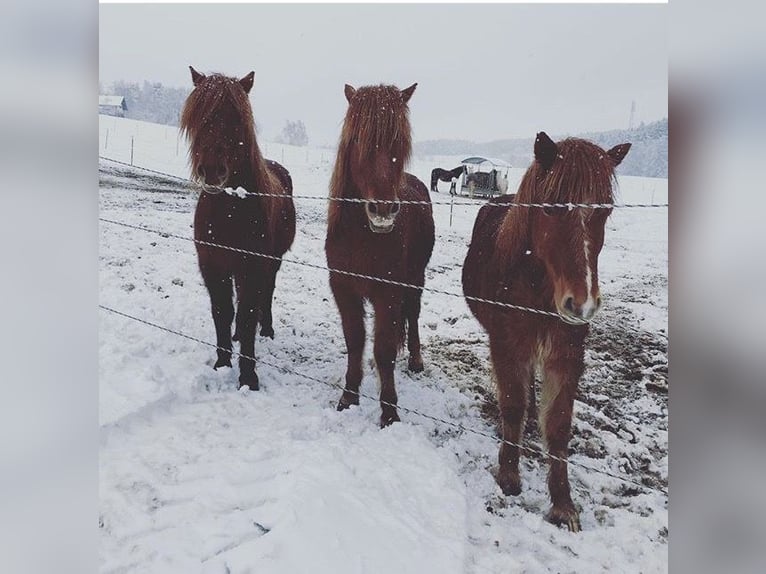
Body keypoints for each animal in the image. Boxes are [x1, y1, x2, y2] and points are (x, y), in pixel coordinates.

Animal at [180, 66, 296, 390]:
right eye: (198, 116)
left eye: (237, 119)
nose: (212, 171)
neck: (230, 210)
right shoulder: (213, 265)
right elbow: (222, 312)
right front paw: (222, 362)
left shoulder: (252, 266)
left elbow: (246, 315)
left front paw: (248, 376)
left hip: (272, 262)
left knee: (265, 294)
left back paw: (266, 329)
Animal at [326, 83, 435, 427]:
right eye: (357, 140)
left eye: (399, 142)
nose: (384, 210)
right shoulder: (344, 289)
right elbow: (356, 340)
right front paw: (349, 397)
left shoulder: (388, 293)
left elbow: (385, 348)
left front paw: (389, 412)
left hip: (415, 279)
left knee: (412, 314)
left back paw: (415, 360)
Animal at [462, 132, 631, 531]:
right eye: (552, 208)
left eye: (605, 210)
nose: (582, 305)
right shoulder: (507, 347)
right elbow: (512, 406)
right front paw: (509, 476)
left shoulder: (565, 357)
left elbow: (557, 425)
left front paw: (563, 505)